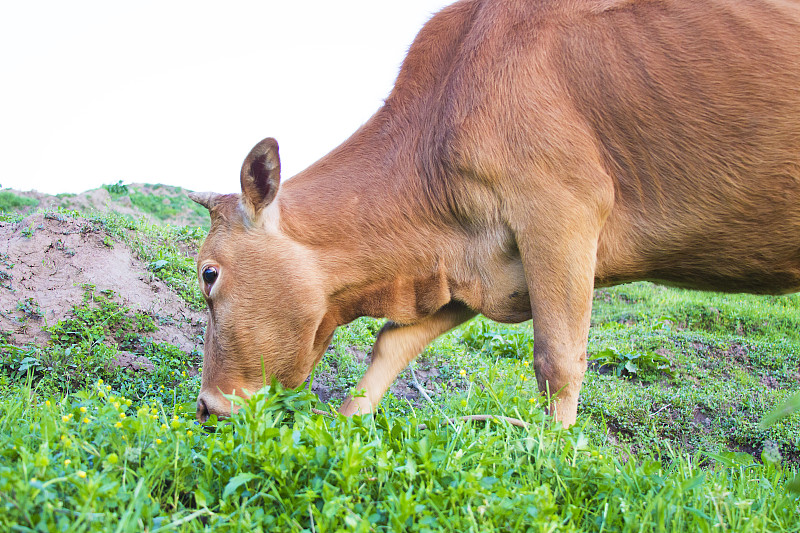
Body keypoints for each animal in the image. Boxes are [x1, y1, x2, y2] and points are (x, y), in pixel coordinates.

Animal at [192, 0, 800, 426]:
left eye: (208, 274)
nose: (206, 408)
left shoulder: (561, 212)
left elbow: (558, 361)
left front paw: (557, 462)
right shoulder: (479, 264)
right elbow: (392, 343)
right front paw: (343, 430)